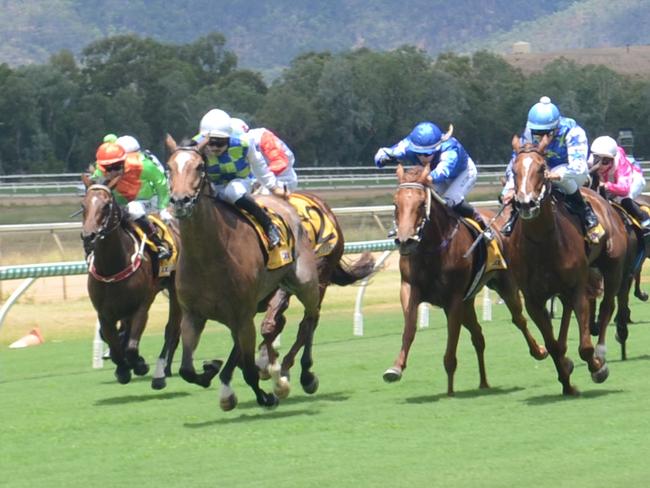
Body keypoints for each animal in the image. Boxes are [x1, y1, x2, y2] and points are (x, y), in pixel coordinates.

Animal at [82, 175, 182, 388]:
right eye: (83, 205)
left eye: (106, 205)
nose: (89, 237)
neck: (112, 267)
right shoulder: (105, 313)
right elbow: (115, 344)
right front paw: (122, 369)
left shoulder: (140, 307)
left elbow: (131, 347)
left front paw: (139, 364)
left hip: (176, 292)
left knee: (172, 329)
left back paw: (162, 371)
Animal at [165, 135, 322, 410]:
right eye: (169, 167)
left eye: (199, 166)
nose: (180, 201)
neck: (207, 256)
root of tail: (283, 202)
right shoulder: (193, 315)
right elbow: (186, 369)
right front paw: (211, 370)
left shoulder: (242, 315)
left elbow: (248, 369)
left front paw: (267, 395)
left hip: (304, 283)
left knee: (310, 319)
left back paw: (305, 374)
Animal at [382, 164, 544, 396]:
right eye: (396, 203)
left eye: (421, 204)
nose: (405, 241)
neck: (432, 249)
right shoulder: (410, 288)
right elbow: (410, 328)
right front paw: (395, 368)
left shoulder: (454, 299)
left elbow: (452, 337)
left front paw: (450, 386)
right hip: (468, 302)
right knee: (478, 336)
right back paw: (483, 382)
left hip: (505, 285)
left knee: (519, 319)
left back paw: (538, 350)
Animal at [508, 135, 624, 394]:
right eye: (513, 169)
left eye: (542, 168)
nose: (526, 204)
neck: (542, 242)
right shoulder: (533, 299)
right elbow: (551, 345)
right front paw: (567, 382)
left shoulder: (577, 286)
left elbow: (585, 347)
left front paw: (597, 367)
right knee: (568, 313)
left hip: (613, 267)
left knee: (607, 307)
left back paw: (602, 353)